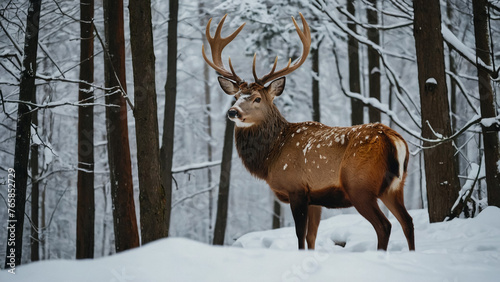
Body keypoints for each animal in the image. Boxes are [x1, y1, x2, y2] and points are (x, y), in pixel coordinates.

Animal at [201, 13, 416, 251]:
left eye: (257, 98)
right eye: (236, 96)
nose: (233, 111)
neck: (270, 157)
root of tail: (393, 139)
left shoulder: (296, 189)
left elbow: (299, 235)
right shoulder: (315, 198)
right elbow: (311, 236)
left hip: (360, 186)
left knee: (384, 225)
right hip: (395, 187)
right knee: (407, 221)